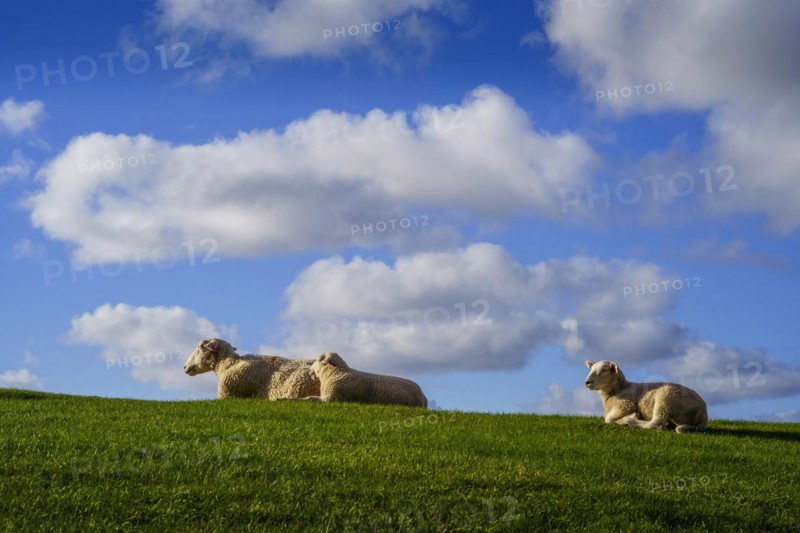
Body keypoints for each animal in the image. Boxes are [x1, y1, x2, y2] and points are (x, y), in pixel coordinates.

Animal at [297, 352, 428, 408]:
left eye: (318, 359)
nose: (309, 369)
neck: (338, 372)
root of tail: (423, 394)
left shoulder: (332, 398)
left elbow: (310, 398)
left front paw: (293, 399)